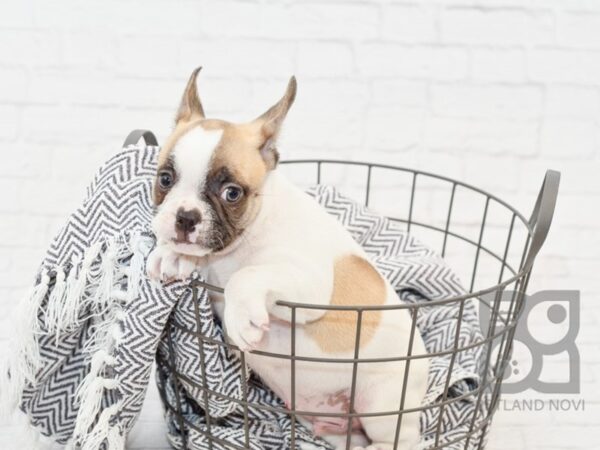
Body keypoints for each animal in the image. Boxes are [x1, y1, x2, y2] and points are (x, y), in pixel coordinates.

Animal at [147, 67, 428, 450]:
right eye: (165, 178)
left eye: (232, 193)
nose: (186, 217)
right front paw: (170, 254)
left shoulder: (309, 285)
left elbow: (248, 275)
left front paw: (241, 318)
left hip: (383, 403)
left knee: (399, 437)